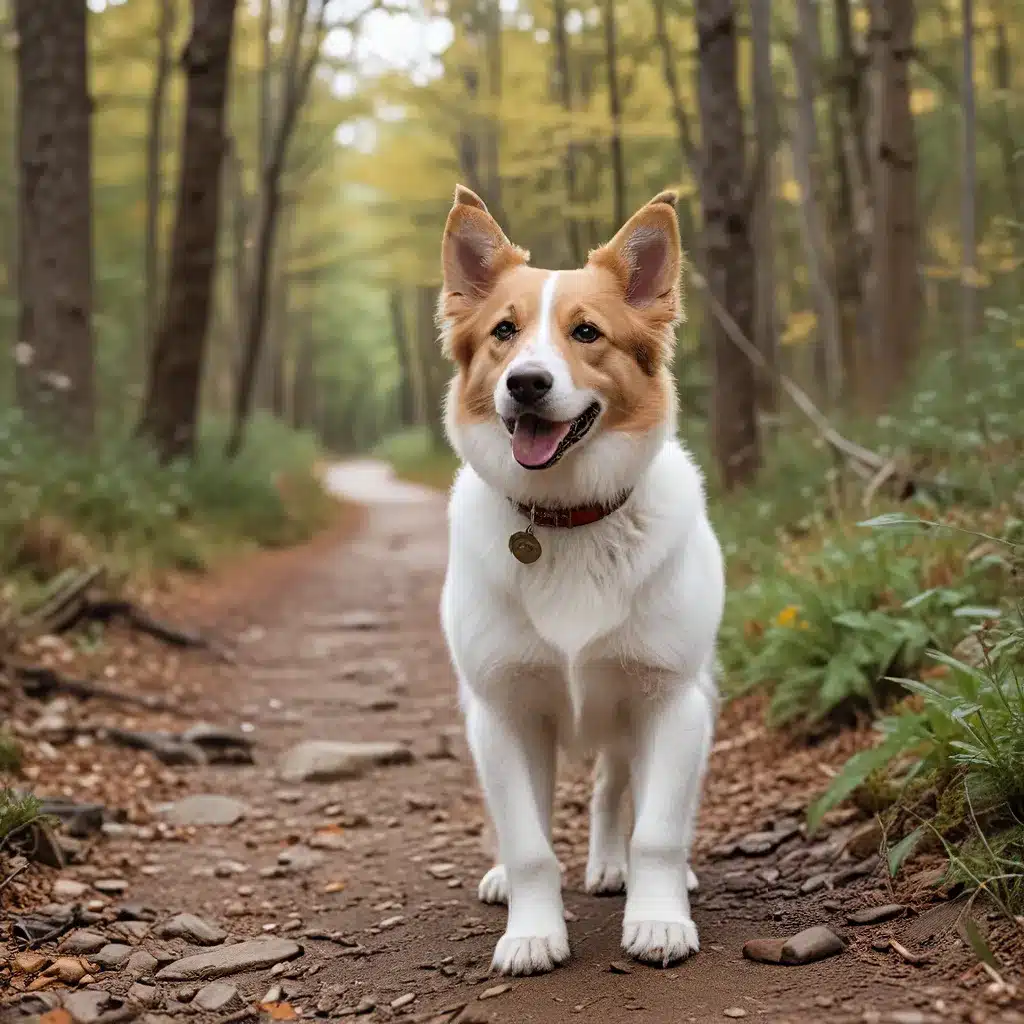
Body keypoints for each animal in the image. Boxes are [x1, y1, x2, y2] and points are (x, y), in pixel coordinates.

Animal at [436, 184, 724, 974]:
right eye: (504, 332)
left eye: (587, 333)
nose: (526, 384)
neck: (567, 520)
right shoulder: (503, 712)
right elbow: (531, 844)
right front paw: (533, 932)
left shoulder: (669, 701)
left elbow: (655, 831)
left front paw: (659, 919)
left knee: (616, 793)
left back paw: (623, 868)